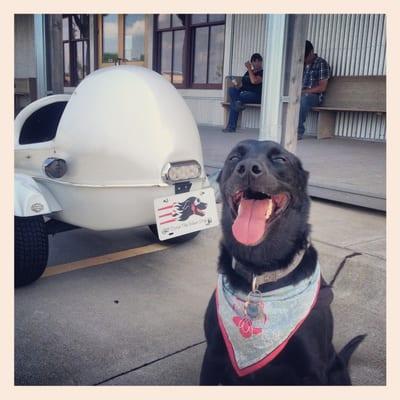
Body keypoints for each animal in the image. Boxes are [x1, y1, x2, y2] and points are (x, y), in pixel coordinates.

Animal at [200, 140, 366, 384]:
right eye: (234, 158)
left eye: (280, 159)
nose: (247, 168)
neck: (260, 272)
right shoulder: (212, 357)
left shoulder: (312, 372)